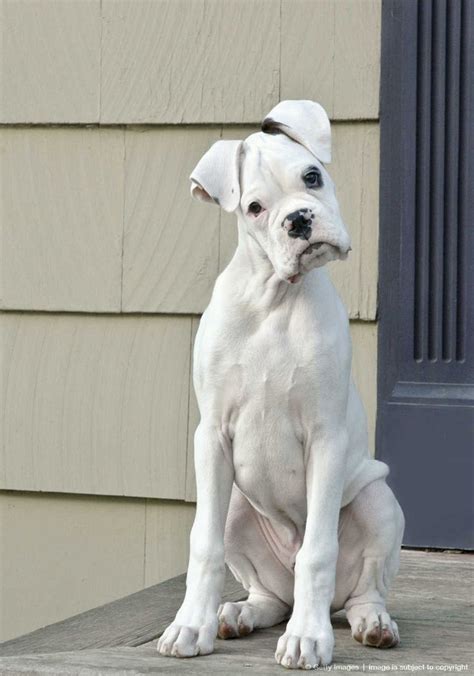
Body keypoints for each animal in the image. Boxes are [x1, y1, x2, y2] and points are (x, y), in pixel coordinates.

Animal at [158, 97, 404, 668]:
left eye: (312, 176)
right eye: (254, 208)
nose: (298, 220)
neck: (273, 298)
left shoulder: (325, 438)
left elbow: (317, 551)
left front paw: (308, 638)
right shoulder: (212, 436)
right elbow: (202, 544)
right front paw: (191, 625)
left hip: (377, 500)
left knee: (361, 590)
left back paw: (370, 624)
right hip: (235, 510)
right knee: (268, 594)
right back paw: (237, 614)